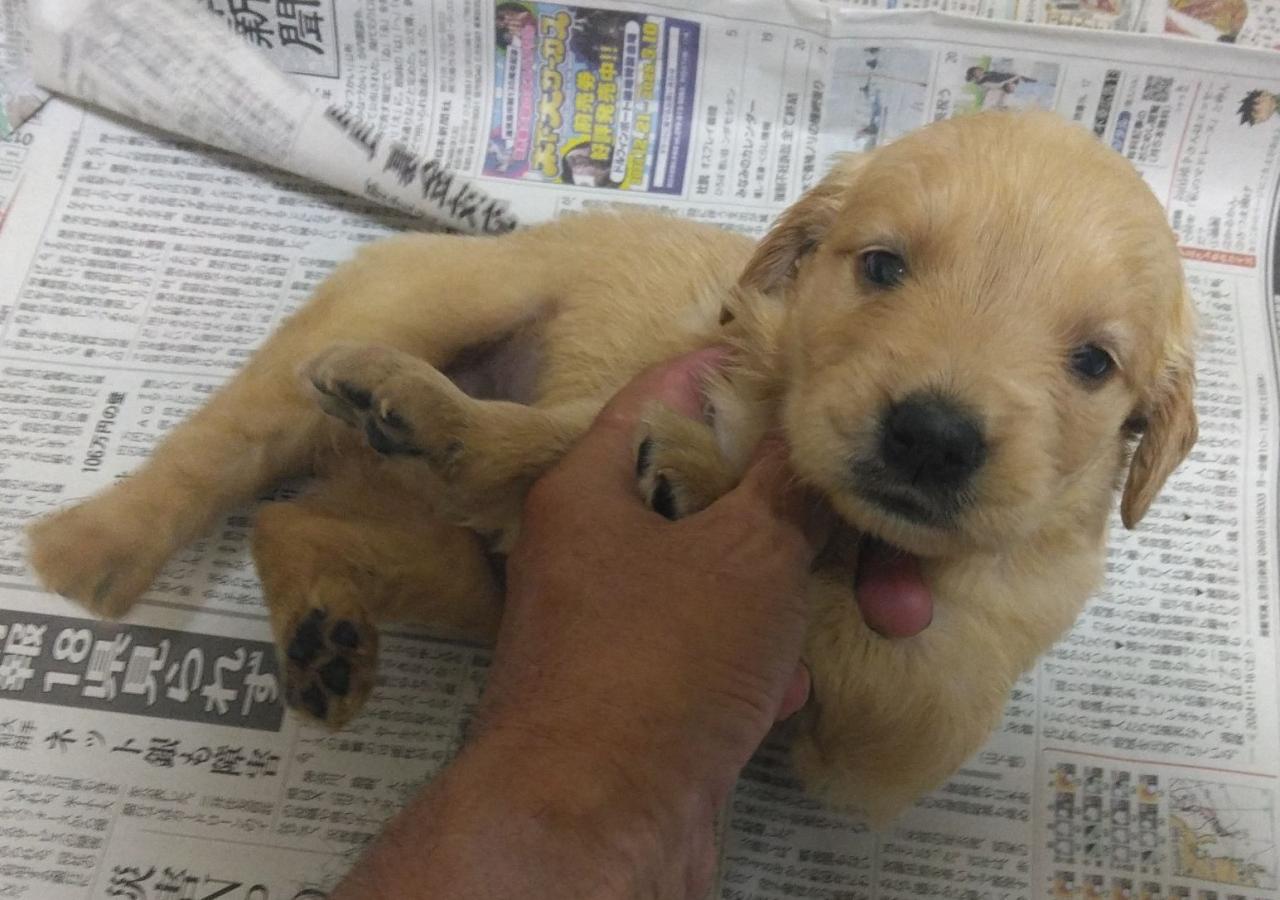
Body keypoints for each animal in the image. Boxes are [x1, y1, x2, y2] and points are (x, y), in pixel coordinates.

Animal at [26, 111, 1196, 822]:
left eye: (1093, 363)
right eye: (880, 267)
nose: (932, 435)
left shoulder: (918, 725)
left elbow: (837, 614)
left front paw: (699, 477)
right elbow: (571, 434)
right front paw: (672, 455)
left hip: (466, 574)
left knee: (293, 520)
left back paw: (326, 631)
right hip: (422, 297)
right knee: (226, 448)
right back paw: (96, 546)